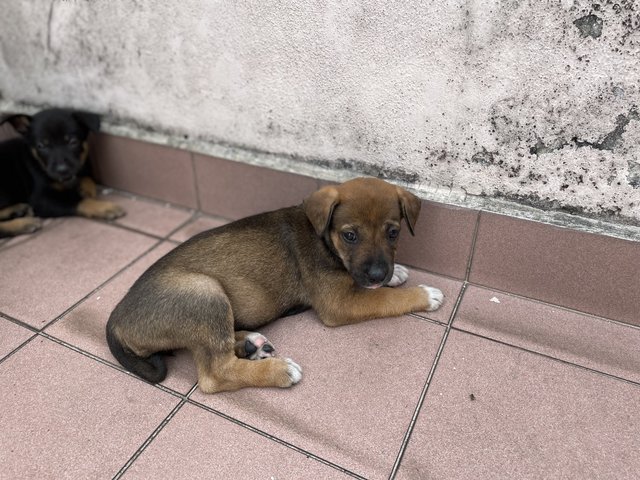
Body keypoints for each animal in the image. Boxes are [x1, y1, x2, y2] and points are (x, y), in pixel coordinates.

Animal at [0, 108, 124, 237]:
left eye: (73, 142)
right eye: (41, 146)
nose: (62, 170)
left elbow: (87, 177)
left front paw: (85, 189)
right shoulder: (40, 200)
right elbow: (76, 201)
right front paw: (103, 207)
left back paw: (18, 210)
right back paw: (22, 224)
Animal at [106, 178, 444, 392]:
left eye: (393, 233)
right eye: (350, 235)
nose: (376, 274)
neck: (324, 237)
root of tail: (116, 318)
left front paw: (397, 273)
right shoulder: (338, 304)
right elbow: (386, 300)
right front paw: (424, 294)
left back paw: (251, 343)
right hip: (204, 291)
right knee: (215, 375)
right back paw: (278, 370)